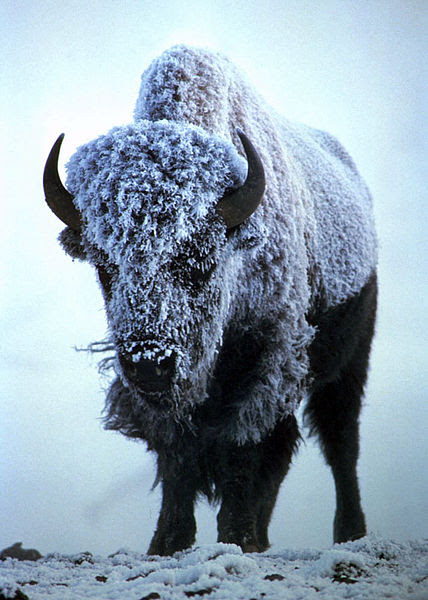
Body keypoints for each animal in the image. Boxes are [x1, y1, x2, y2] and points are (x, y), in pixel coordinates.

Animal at [44, 44, 378, 556]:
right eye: (104, 265)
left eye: (200, 259)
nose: (150, 362)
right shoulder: (168, 401)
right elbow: (178, 462)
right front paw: (167, 544)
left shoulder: (265, 369)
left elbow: (243, 456)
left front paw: (236, 540)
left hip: (349, 363)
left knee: (340, 444)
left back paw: (349, 534)